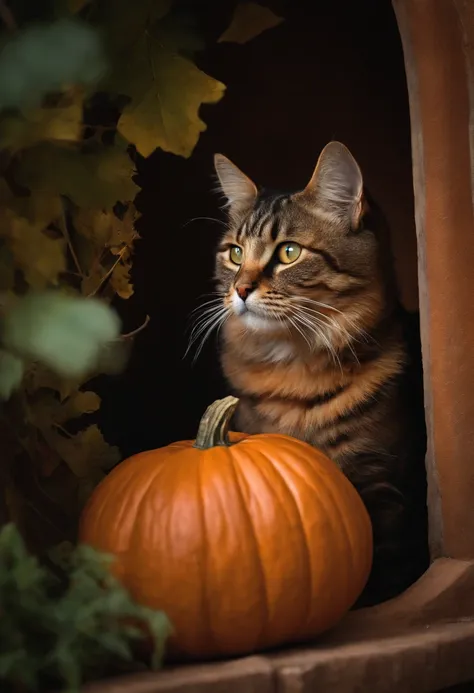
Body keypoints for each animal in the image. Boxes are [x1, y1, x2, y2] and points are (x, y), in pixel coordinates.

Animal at [207, 142, 430, 604]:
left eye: (289, 253)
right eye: (235, 253)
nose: (240, 289)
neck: (293, 371)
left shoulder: (383, 485)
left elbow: (384, 575)